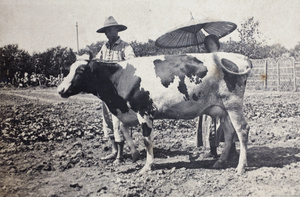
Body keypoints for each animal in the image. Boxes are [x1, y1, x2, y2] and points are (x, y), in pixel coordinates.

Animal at [57, 52, 252, 174]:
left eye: (80, 70)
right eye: (68, 69)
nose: (60, 89)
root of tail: (238, 56)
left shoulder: (144, 111)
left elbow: (147, 140)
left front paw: (147, 166)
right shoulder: (127, 113)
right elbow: (125, 132)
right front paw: (134, 154)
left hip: (233, 104)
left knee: (242, 130)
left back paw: (241, 167)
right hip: (223, 109)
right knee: (229, 132)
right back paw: (221, 161)